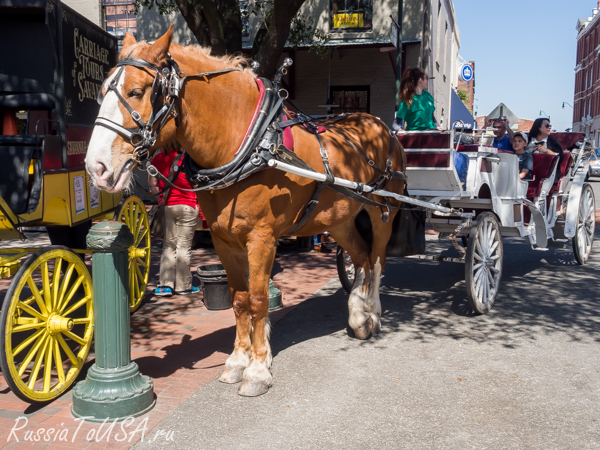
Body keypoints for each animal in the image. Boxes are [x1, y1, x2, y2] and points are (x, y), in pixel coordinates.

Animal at [85, 26, 404, 396]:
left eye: (136, 92)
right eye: (102, 92)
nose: (95, 167)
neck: (247, 143)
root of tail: (378, 123)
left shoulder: (261, 239)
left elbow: (259, 299)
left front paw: (258, 369)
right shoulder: (223, 240)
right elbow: (238, 300)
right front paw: (238, 361)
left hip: (384, 210)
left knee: (377, 259)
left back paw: (374, 314)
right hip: (340, 218)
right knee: (362, 256)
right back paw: (358, 315)